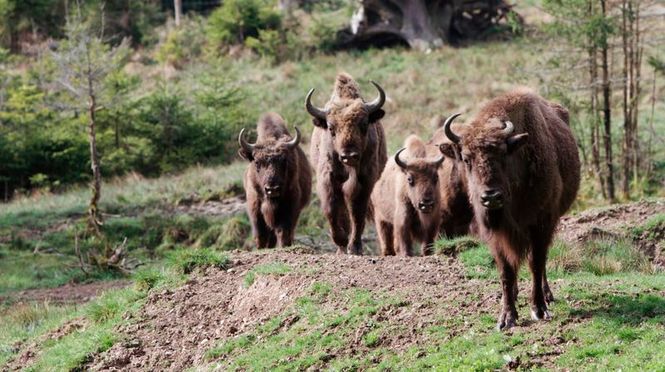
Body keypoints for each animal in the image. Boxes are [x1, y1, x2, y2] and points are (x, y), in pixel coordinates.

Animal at [237, 112, 312, 248]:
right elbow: (260, 234)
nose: (272, 189)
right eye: (257, 162)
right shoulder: (255, 208)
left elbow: (283, 232)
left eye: (284, 161)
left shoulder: (289, 208)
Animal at [306, 72, 390, 256]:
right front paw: (341, 241)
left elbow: (357, 213)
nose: (349, 155)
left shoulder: (365, 182)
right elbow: (331, 209)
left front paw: (355, 247)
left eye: (364, 124)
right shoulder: (328, 180)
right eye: (331, 128)